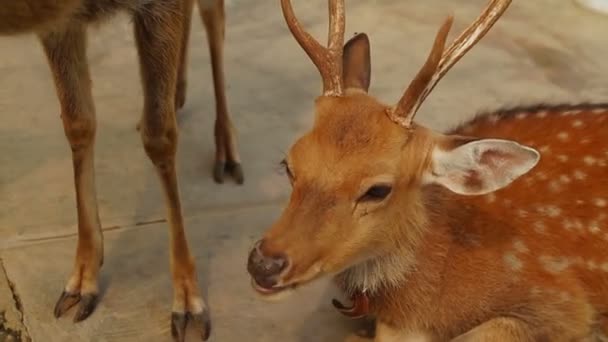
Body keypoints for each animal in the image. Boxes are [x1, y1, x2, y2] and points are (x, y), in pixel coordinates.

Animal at [2, 0, 245, 340]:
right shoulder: (59, 25)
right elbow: (78, 122)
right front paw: (82, 281)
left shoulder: (158, 8)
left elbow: (160, 138)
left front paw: (188, 304)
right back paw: (177, 93)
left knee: (215, 19)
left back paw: (226, 150)